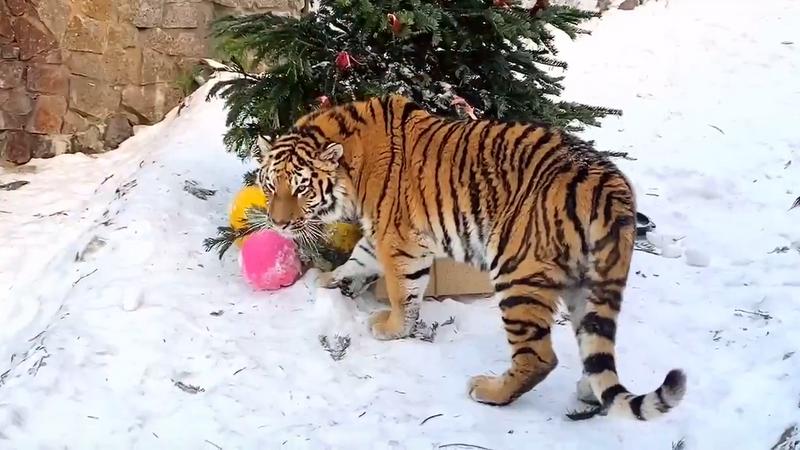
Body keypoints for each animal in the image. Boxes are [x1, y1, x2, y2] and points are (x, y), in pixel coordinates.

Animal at [256, 93, 688, 420]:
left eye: (301, 189)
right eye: (270, 185)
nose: (278, 223)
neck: (353, 163)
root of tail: (610, 187)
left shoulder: (398, 239)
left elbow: (401, 292)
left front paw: (391, 328)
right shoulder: (386, 236)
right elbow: (359, 258)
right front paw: (331, 279)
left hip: (516, 273)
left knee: (540, 358)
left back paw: (489, 391)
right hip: (590, 284)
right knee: (593, 346)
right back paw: (587, 391)